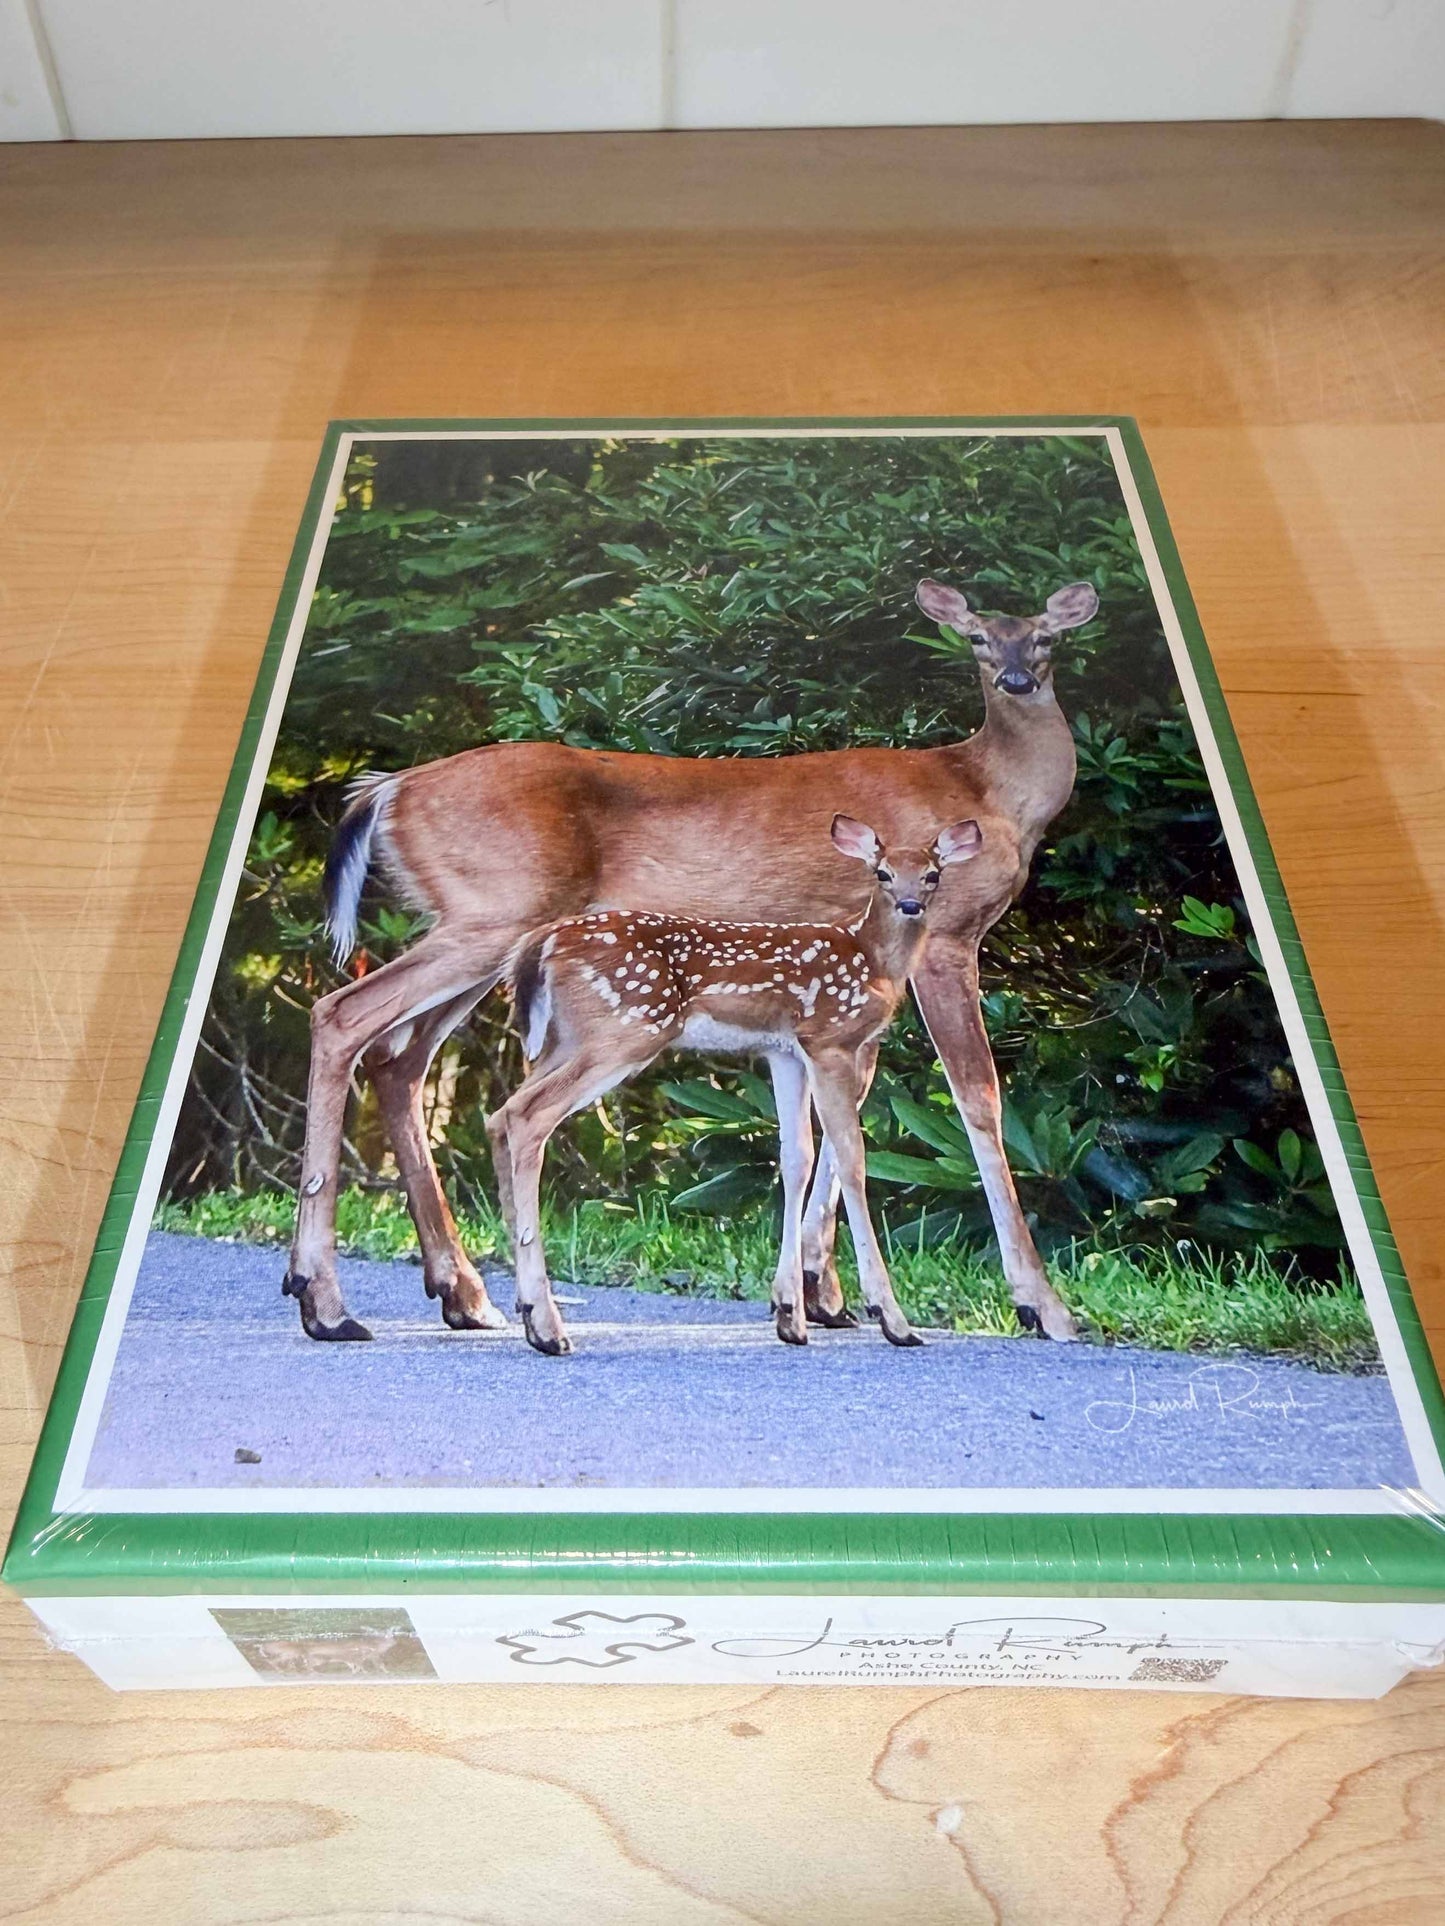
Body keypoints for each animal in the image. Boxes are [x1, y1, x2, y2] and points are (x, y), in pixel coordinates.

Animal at [487, 815, 983, 1356]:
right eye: (883, 872)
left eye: (932, 874)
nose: (911, 905)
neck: (873, 961)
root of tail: (538, 946)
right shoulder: (828, 1039)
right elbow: (852, 1161)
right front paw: (892, 1319)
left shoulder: (784, 1051)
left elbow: (797, 1156)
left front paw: (790, 1316)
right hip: (624, 1029)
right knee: (527, 1116)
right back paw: (548, 1326)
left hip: (565, 1039)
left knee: (500, 1114)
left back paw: (526, 1308)